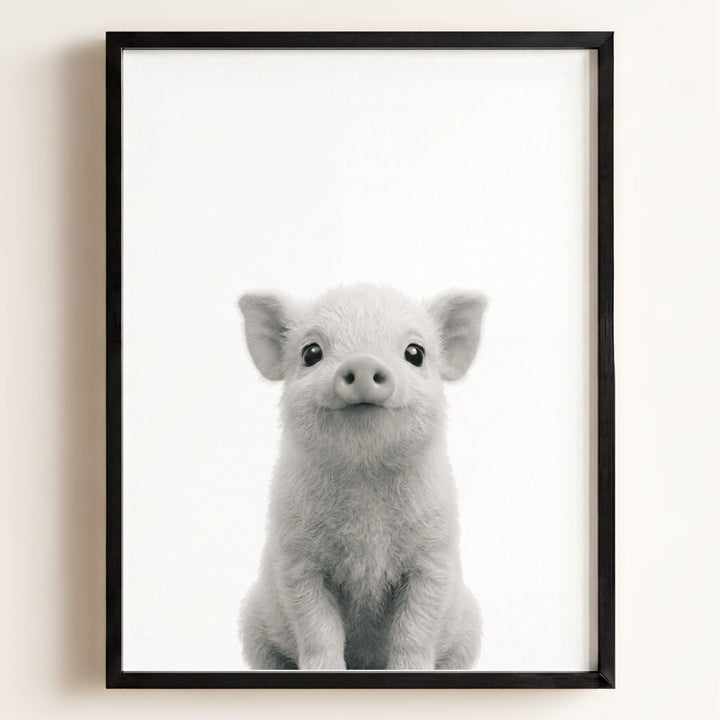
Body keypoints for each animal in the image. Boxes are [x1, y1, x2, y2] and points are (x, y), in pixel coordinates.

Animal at [238, 284, 487, 670]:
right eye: (311, 353)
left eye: (415, 353)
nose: (363, 361)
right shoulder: (296, 559)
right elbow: (318, 628)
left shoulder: (434, 556)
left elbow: (415, 629)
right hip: (253, 626)